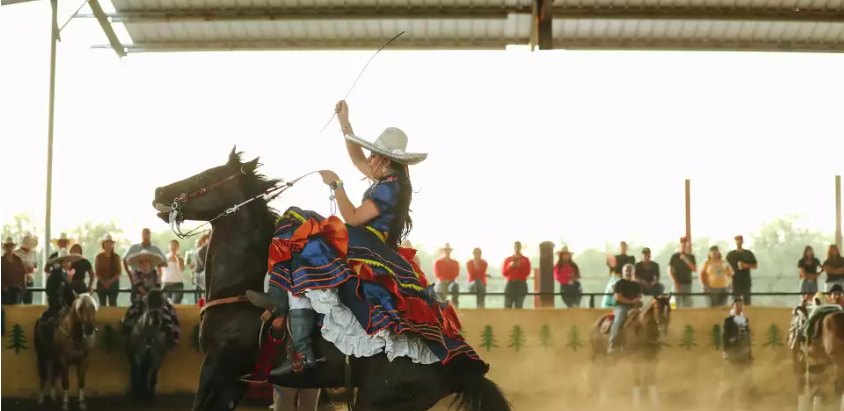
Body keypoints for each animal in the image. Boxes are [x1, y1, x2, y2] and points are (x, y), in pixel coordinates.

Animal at [150, 150, 508, 411]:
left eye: (204, 177)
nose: (159, 191)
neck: (241, 283)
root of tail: (459, 369)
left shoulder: (218, 367)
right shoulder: (235, 379)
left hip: (377, 402)